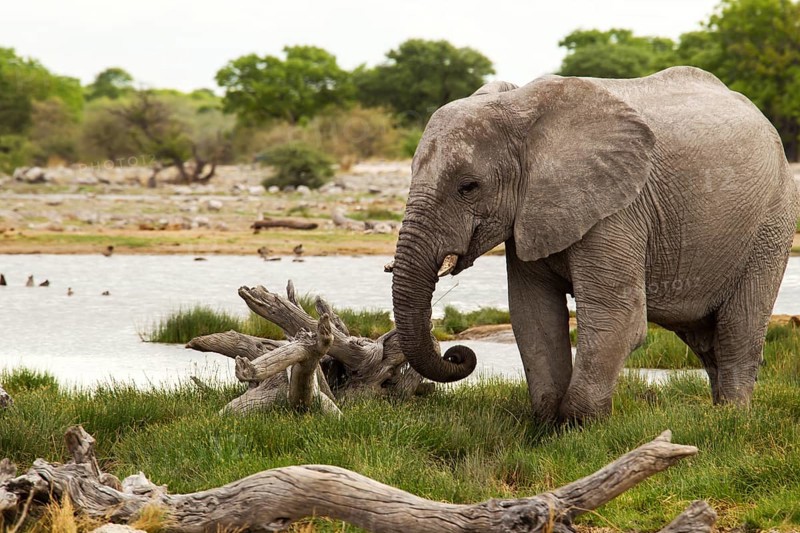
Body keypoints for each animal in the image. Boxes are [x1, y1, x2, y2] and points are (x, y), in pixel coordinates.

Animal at [391, 66, 800, 422]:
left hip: (772, 222)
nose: (458, 354)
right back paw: (718, 416)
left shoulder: (617, 209)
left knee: (737, 330)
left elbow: (617, 317)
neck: (518, 107)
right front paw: (546, 426)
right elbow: (532, 315)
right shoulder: (532, 211)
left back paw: (733, 419)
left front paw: (578, 429)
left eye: (468, 187)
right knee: (705, 340)